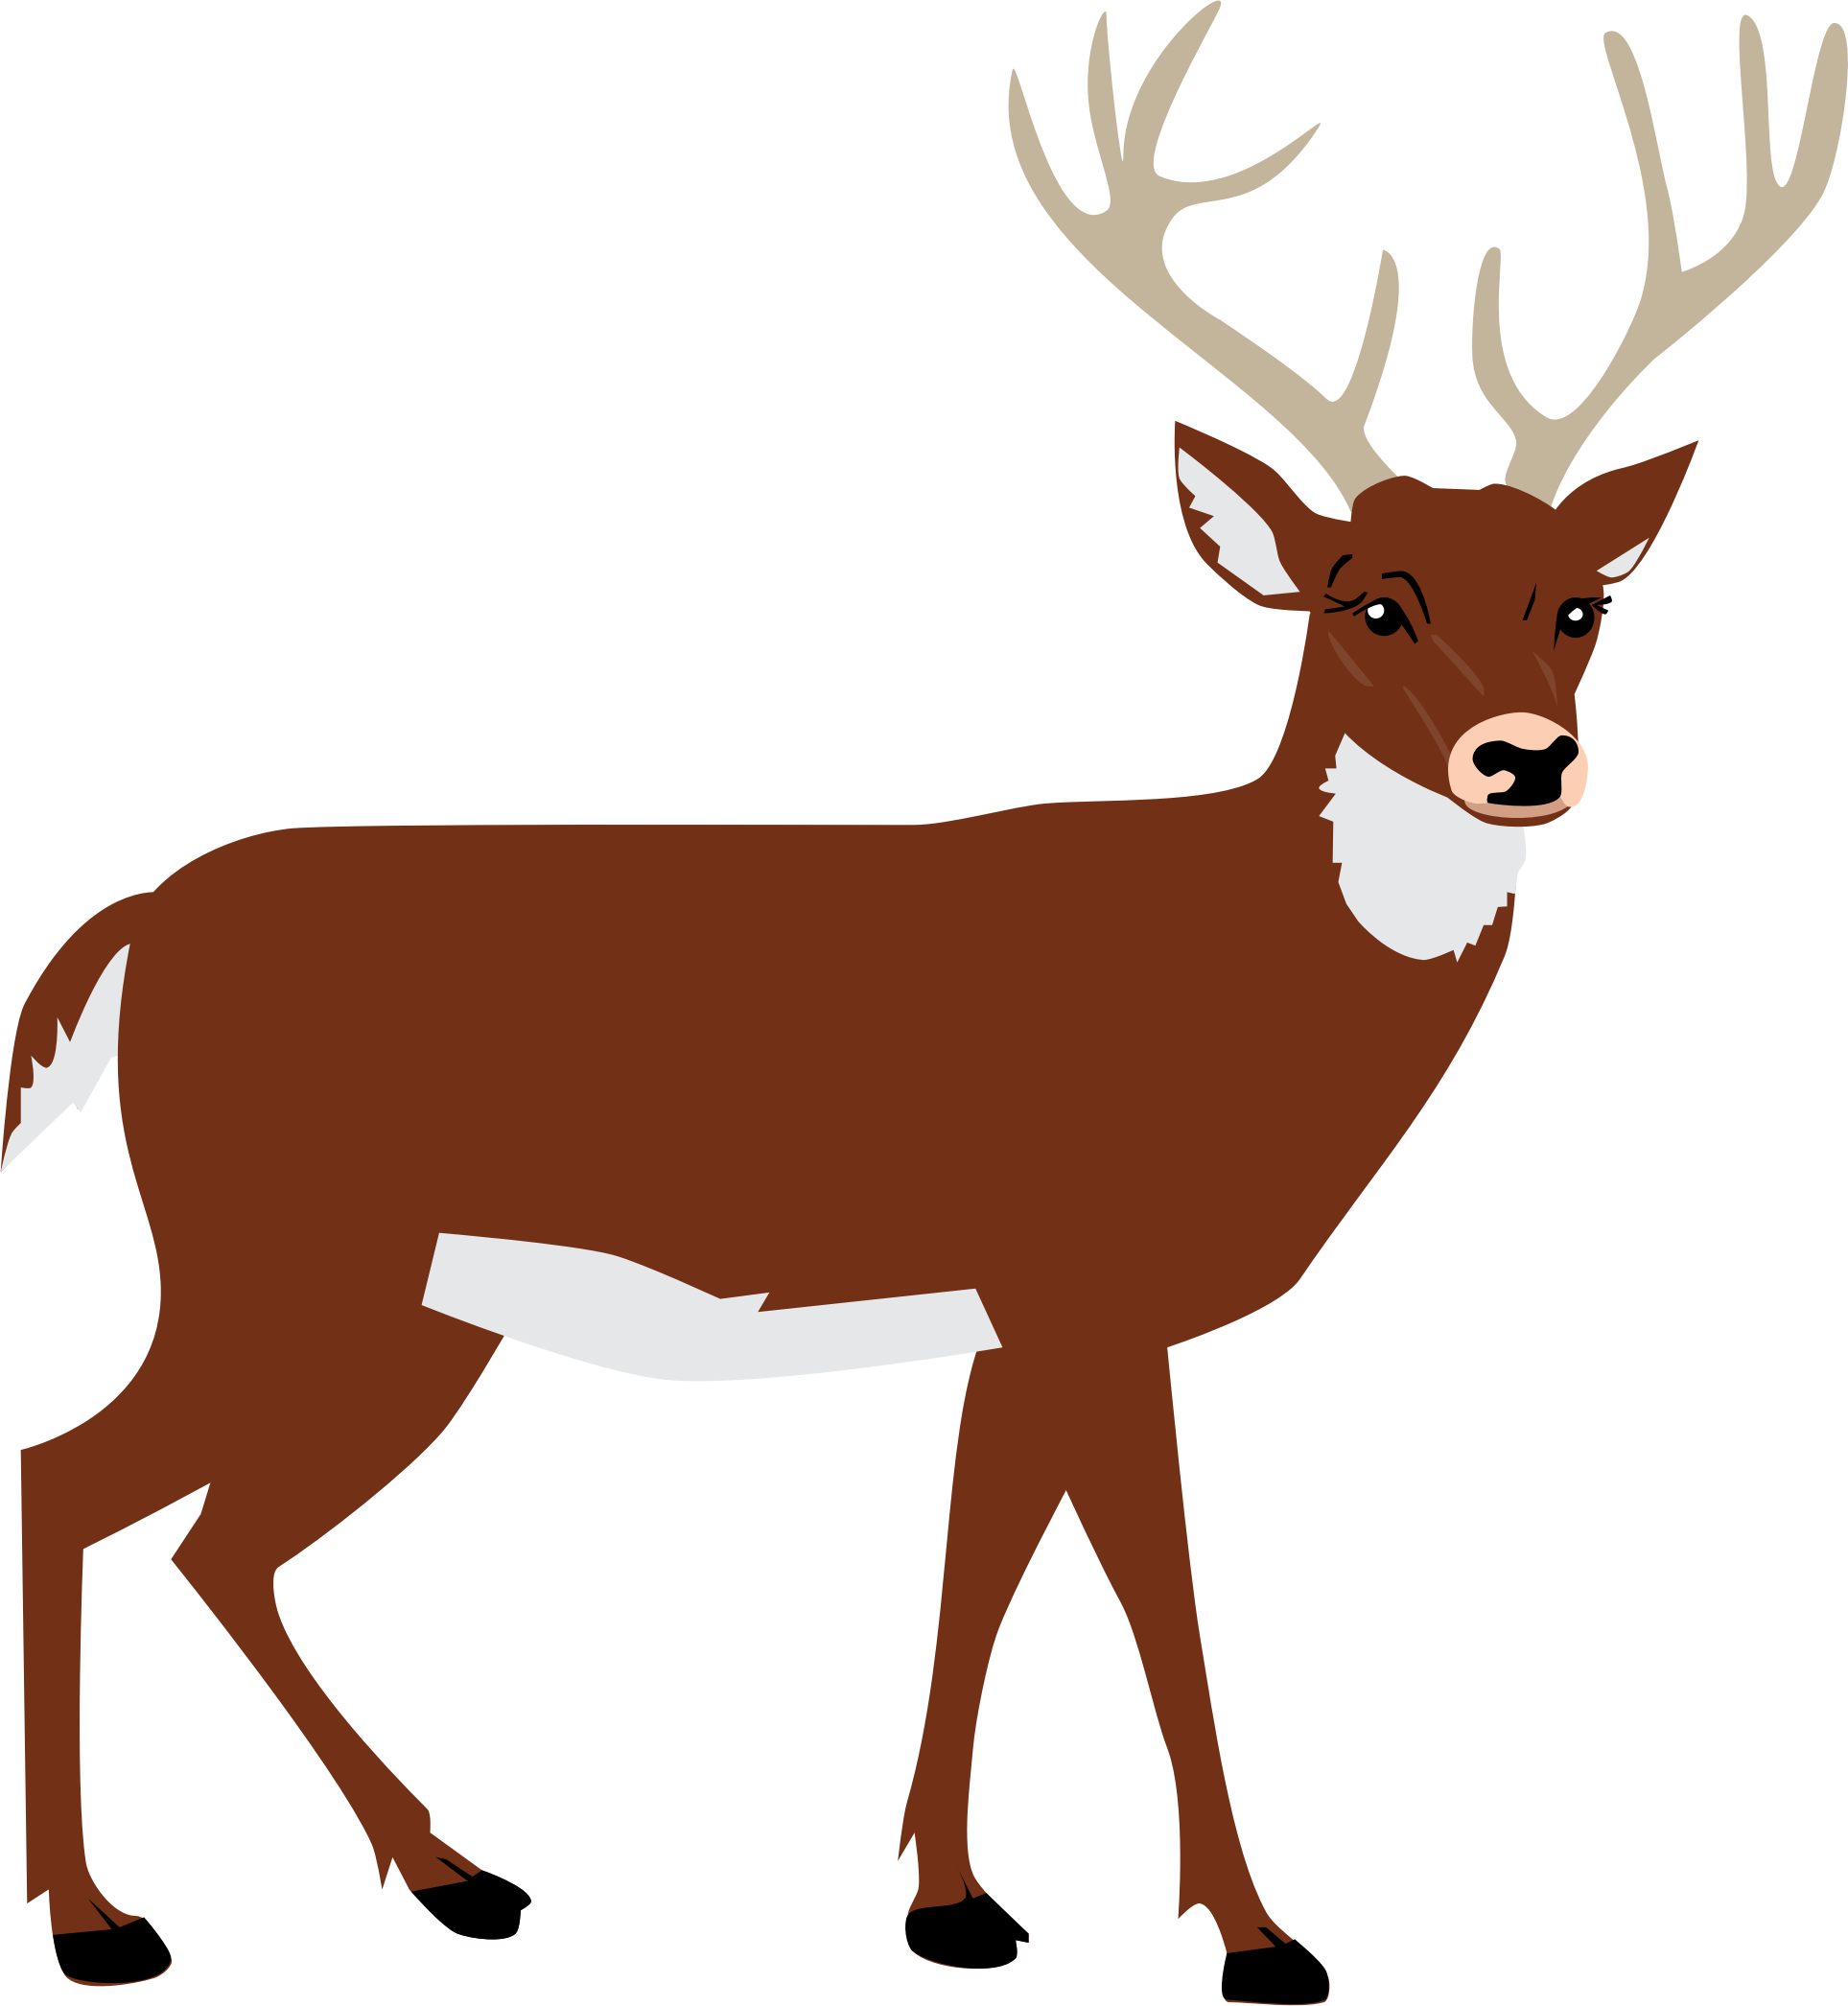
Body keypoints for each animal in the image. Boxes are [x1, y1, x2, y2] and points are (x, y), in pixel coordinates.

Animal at [13, 4, 1844, 1997]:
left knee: (214, 1540)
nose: (1528, 759)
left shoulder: (1009, 1313)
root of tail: (137, 932)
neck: (1241, 980)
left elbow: (978, 1560)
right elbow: (1155, 1586)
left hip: (399, 1308)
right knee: (77, 1479)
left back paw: (435, 1865)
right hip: (284, 1253)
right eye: (1370, 602)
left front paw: (949, 1895)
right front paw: (1247, 1925)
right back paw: (97, 1916)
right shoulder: (1086, 1275)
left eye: (1579, 604)